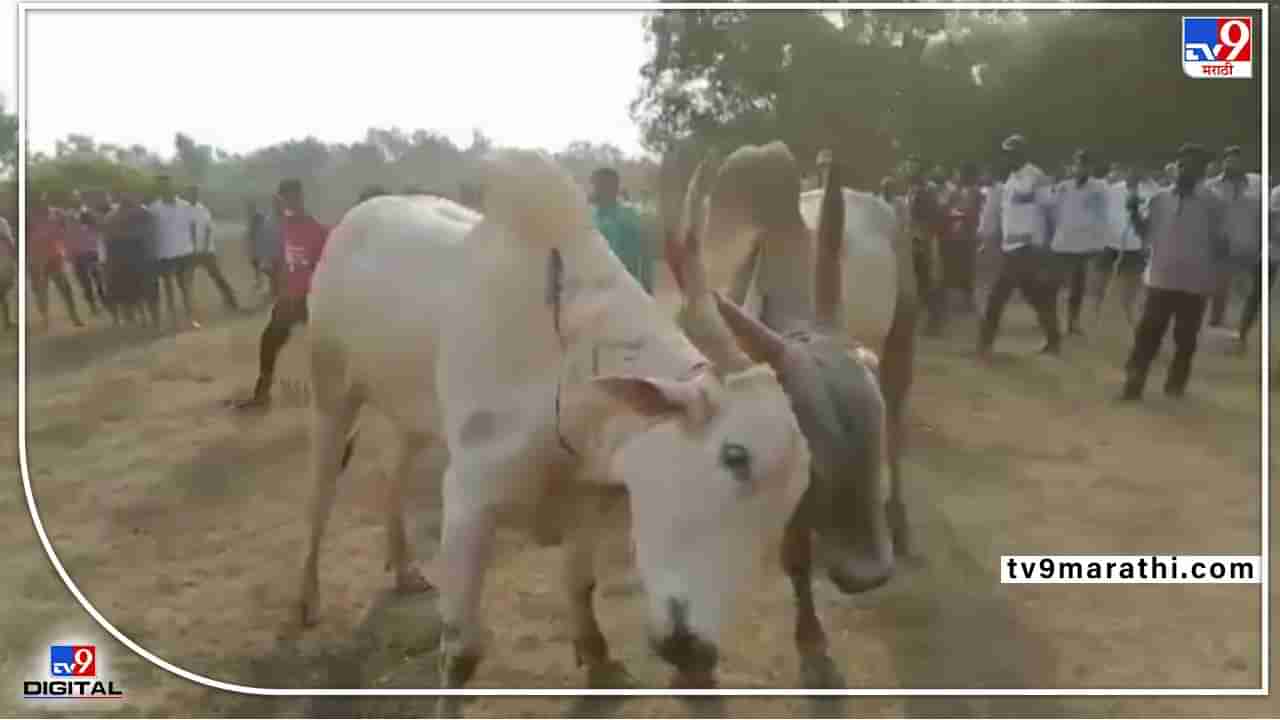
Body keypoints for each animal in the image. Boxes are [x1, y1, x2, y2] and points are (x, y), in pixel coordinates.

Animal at [299, 148, 808, 702]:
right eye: (735, 456)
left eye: (793, 501)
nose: (694, 649)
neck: (570, 369)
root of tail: (356, 217)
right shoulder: (468, 499)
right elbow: (461, 651)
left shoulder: (589, 497)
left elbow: (580, 586)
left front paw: (599, 658)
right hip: (332, 394)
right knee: (321, 492)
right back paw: (307, 598)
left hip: (412, 415)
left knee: (396, 469)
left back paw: (406, 567)